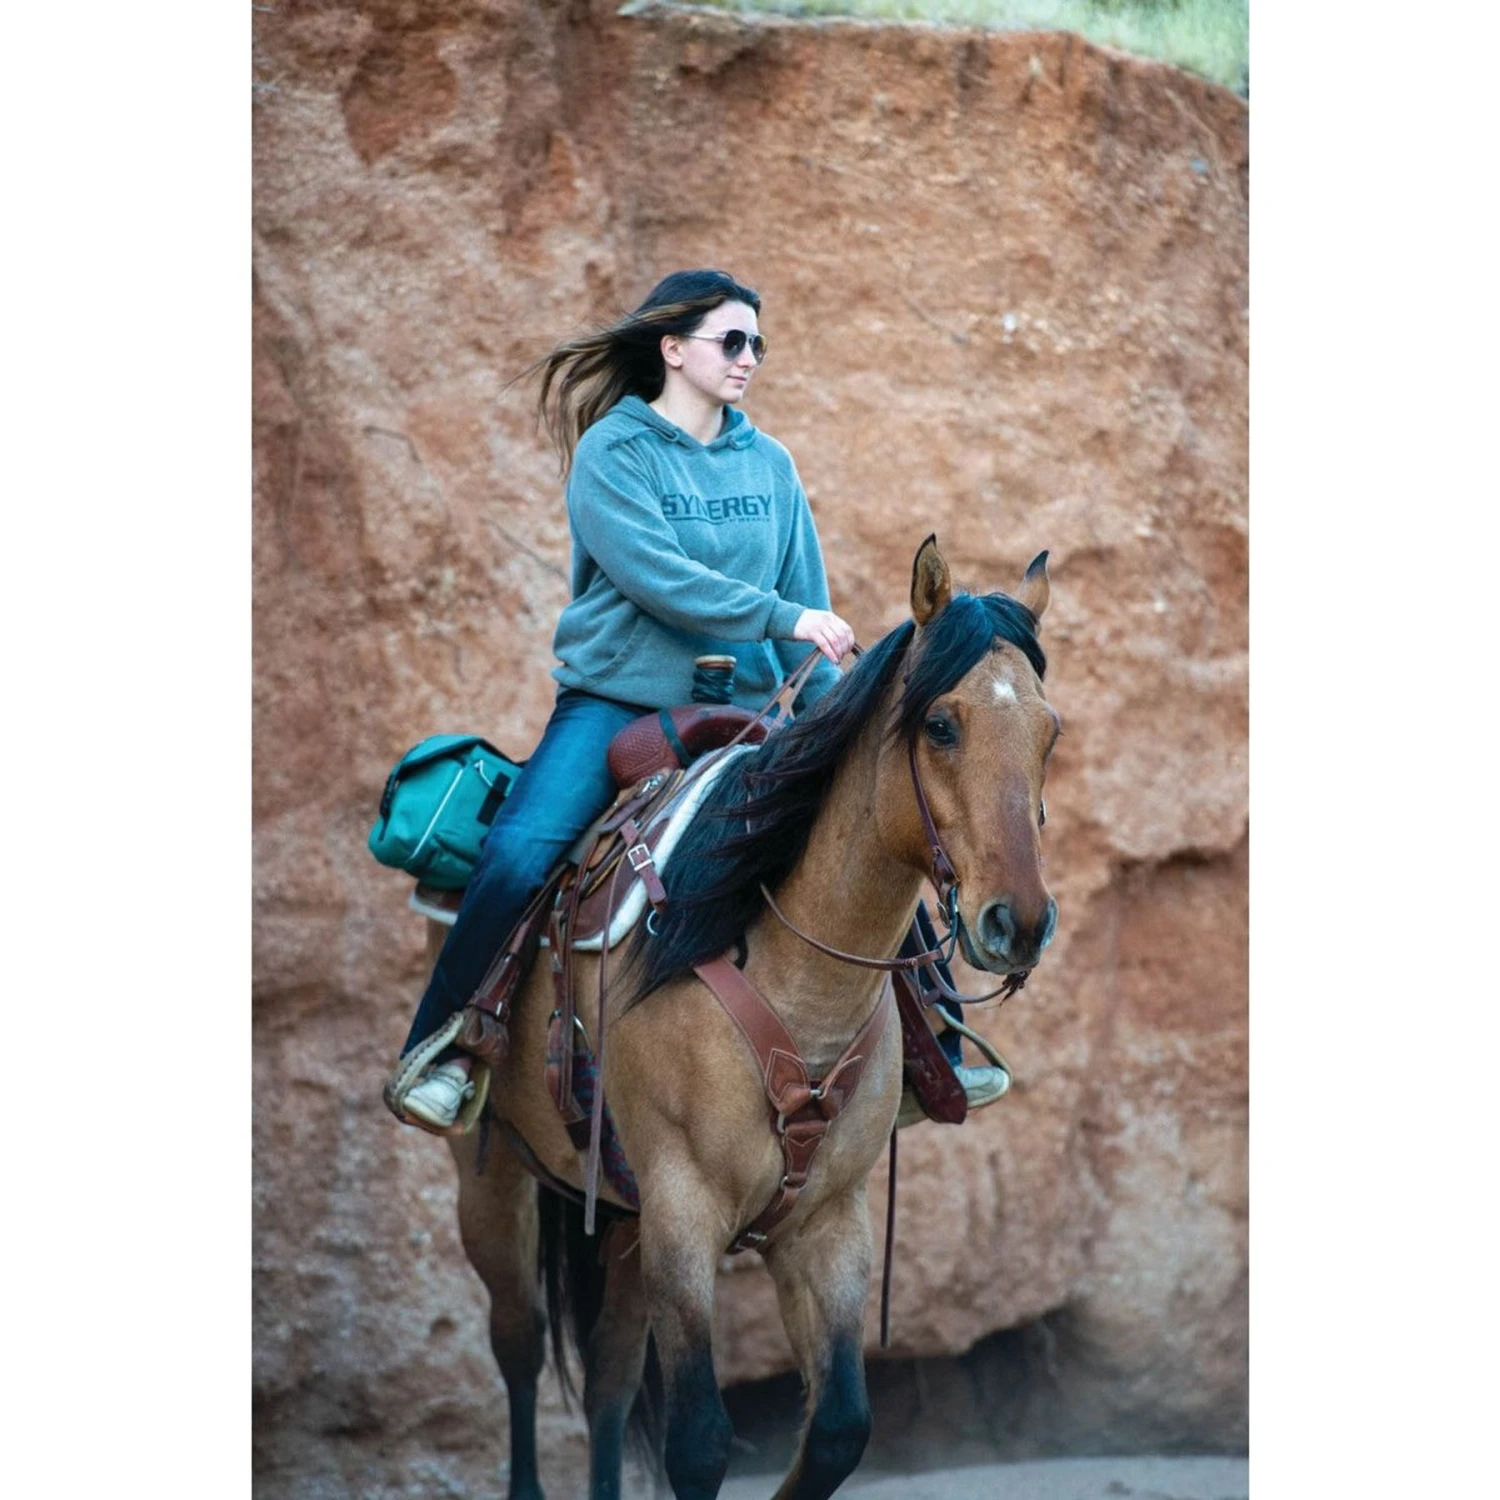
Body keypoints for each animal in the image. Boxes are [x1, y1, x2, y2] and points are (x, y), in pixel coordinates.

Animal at [437, 536, 1059, 1500]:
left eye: (1050, 733)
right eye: (941, 725)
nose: (1018, 923)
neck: (794, 978)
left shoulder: (827, 1222)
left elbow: (838, 1427)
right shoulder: (683, 1212)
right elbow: (699, 1440)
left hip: (620, 1214)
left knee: (611, 1373)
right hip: (495, 1173)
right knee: (521, 1345)